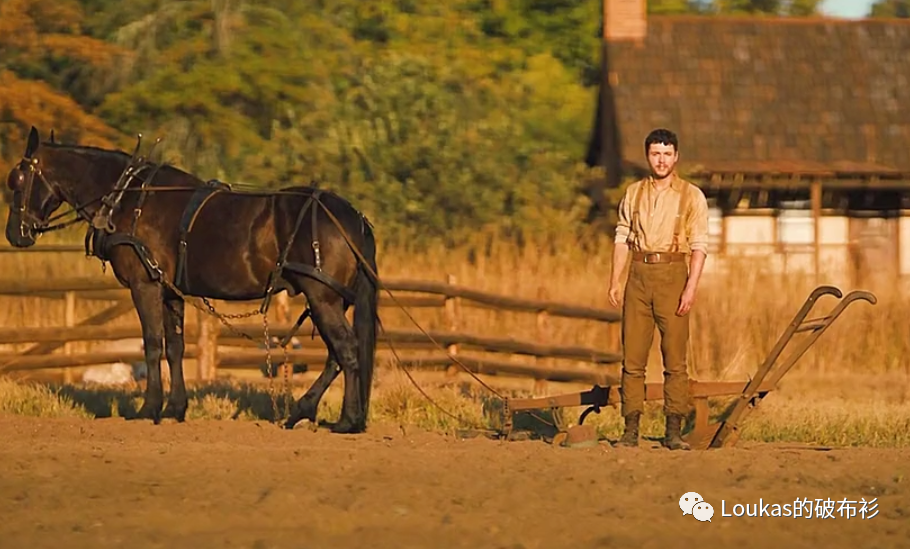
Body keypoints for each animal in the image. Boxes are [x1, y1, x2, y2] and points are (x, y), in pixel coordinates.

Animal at [4, 125, 382, 432]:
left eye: (16, 181)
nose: (14, 234)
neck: (129, 198)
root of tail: (354, 217)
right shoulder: (169, 290)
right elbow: (175, 347)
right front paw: (175, 408)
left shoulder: (145, 286)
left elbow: (152, 344)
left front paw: (149, 408)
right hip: (331, 300)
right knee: (336, 355)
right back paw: (303, 411)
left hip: (323, 298)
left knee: (346, 350)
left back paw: (347, 421)